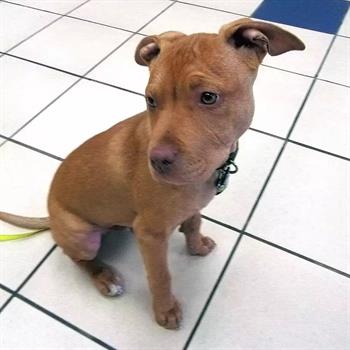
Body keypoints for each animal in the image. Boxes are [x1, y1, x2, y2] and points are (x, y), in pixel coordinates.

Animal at [0, 19, 304, 330]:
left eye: (209, 97)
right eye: (150, 100)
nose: (156, 162)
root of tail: (50, 216)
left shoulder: (191, 206)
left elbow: (193, 223)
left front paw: (196, 245)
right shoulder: (150, 235)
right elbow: (161, 276)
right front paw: (165, 311)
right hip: (82, 236)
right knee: (76, 258)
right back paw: (105, 277)